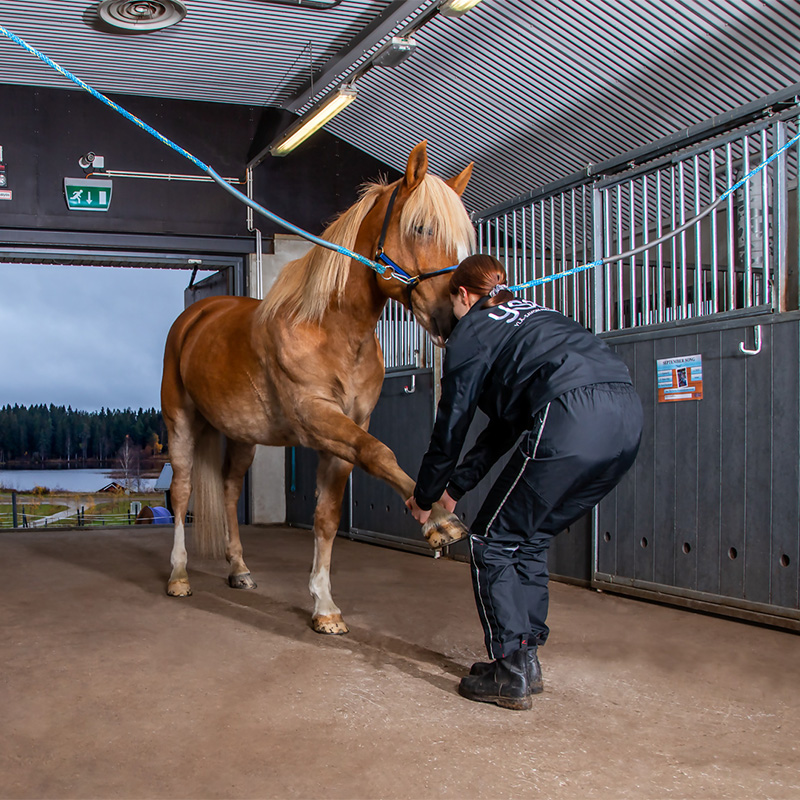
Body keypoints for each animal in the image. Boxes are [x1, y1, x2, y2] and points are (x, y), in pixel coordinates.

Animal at [162, 142, 476, 632]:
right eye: (421, 227)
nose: (452, 316)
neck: (331, 330)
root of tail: (195, 316)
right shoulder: (317, 417)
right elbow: (380, 454)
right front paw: (439, 522)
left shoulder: (346, 428)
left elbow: (327, 518)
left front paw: (324, 606)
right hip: (180, 422)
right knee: (181, 491)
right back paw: (178, 576)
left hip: (243, 436)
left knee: (229, 490)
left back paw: (239, 570)